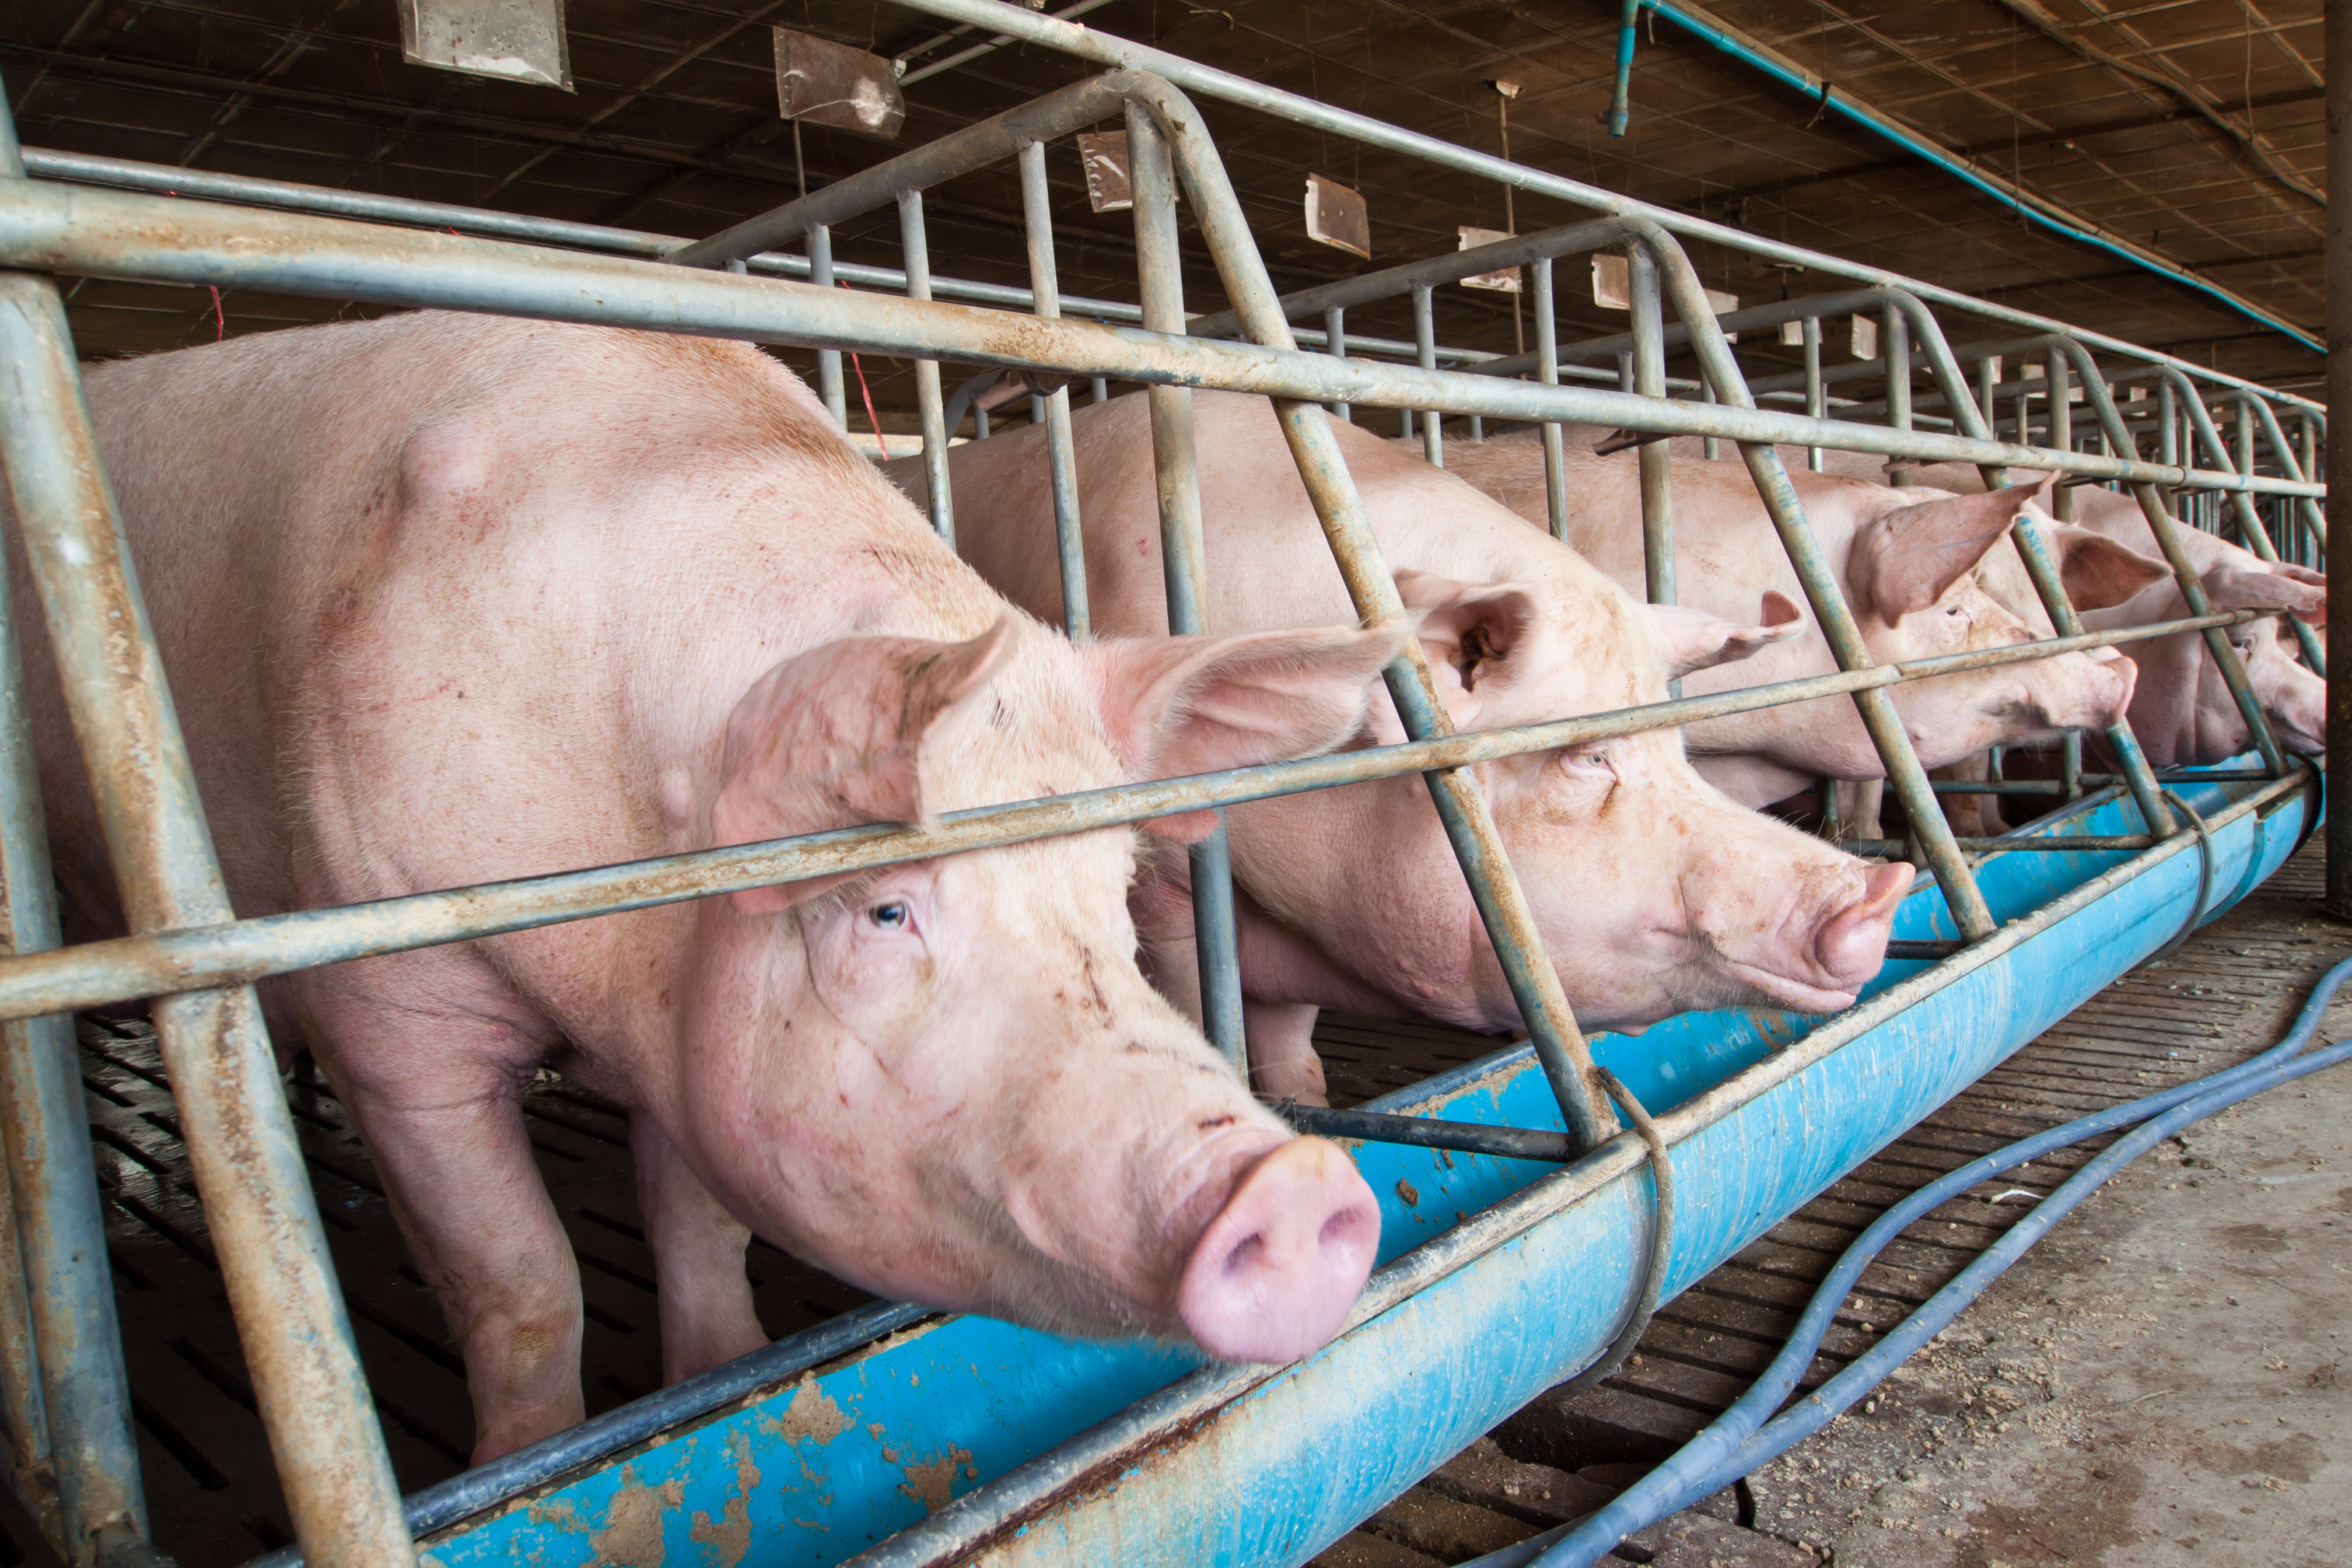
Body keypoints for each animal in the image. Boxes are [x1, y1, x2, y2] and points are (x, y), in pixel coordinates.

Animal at [18, 314, 1410, 1461]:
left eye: (1110, 895)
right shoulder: (388, 990)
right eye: (885, 908)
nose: (1293, 1186)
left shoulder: (683, 1037)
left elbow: (697, 1226)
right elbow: (522, 1281)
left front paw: (719, 1373)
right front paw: (522, 1460)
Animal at [897, 391, 1912, 1106]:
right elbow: (1197, 1001)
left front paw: (1309, 1099)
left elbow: (1288, 1027)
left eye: (1676, 746)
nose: (1880, 890)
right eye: (1584, 757)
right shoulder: (1164, 882)